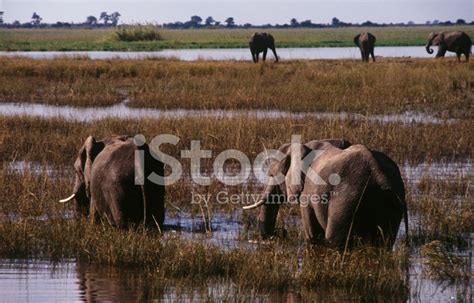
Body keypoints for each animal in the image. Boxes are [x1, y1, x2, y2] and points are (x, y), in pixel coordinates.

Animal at [244, 140, 408, 249]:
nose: (280, 233)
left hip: (346, 200)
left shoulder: (308, 190)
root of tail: (380, 176)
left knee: (335, 239)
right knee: (384, 242)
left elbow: (312, 232)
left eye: (272, 174)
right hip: (390, 203)